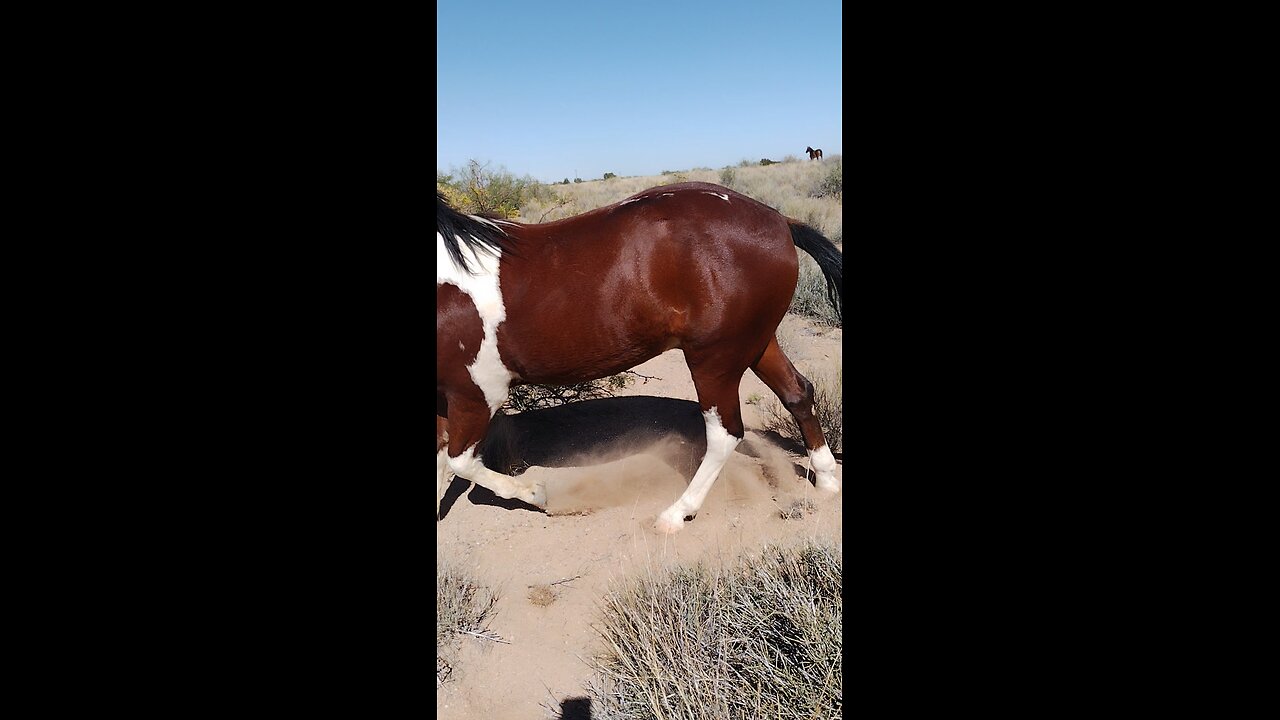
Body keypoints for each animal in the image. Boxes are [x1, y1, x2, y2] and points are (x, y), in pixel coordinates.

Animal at [437, 181, 842, 533]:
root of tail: (779, 221)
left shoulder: (476, 393)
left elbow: (460, 462)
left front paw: (536, 493)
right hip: (756, 344)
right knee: (797, 393)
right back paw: (826, 479)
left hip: (715, 358)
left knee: (725, 433)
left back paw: (677, 514)